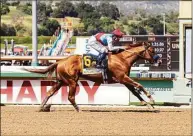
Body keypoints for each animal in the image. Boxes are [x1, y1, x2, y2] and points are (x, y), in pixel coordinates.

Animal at [24, 41, 160, 111]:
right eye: (152, 50)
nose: (158, 60)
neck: (122, 58)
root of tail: (60, 61)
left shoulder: (124, 80)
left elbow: (135, 92)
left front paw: (149, 105)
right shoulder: (122, 77)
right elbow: (139, 85)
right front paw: (152, 100)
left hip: (60, 81)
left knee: (50, 92)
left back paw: (41, 107)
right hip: (72, 81)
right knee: (70, 97)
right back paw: (79, 109)